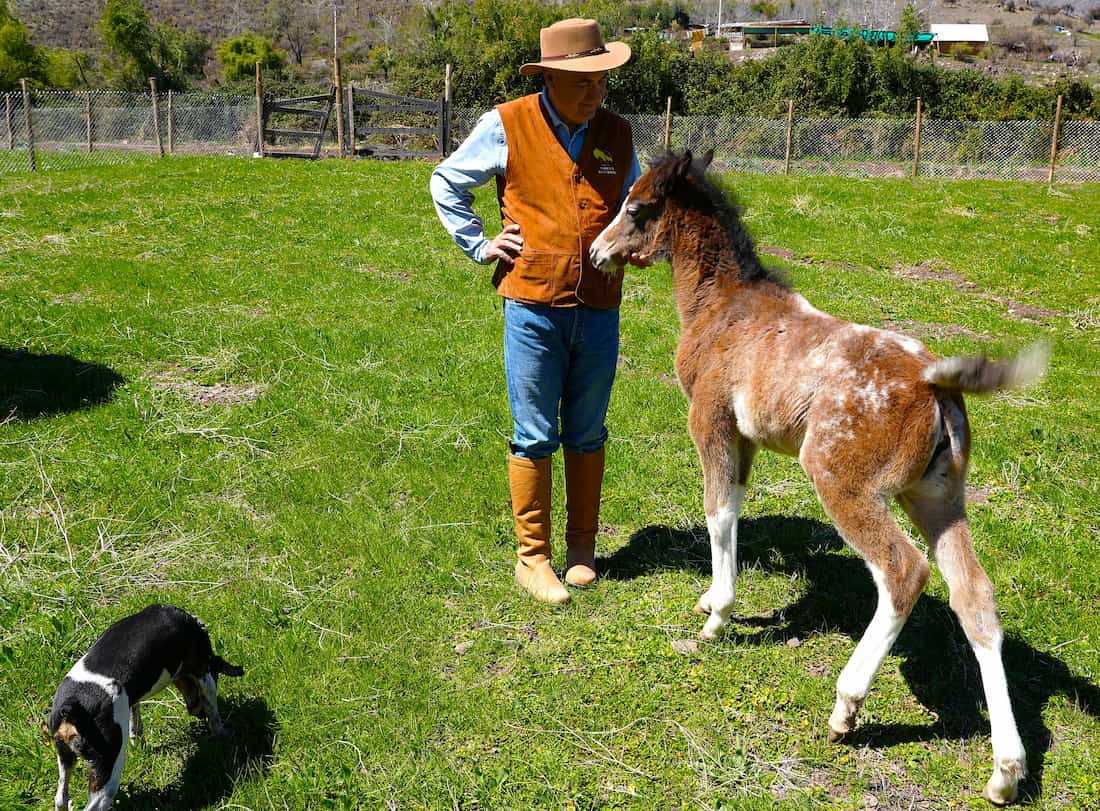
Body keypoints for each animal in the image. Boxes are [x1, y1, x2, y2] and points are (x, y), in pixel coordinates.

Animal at [589, 151, 1047, 805]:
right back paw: (1006, 771)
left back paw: (846, 706)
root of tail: (937, 382)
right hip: (937, 496)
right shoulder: (747, 440)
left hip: (841, 480)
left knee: (904, 572)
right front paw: (712, 595)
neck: (722, 306)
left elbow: (716, 512)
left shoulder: (712, 423)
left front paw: (716, 617)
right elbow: (734, 510)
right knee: (974, 597)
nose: (597, 252)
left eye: (637, 208)